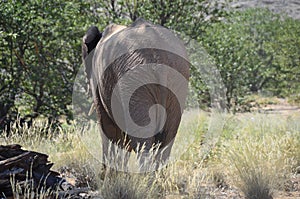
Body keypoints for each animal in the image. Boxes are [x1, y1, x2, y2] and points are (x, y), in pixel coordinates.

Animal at [81, 18, 190, 171]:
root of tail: (159, 54)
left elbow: (107, 127)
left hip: (135, 79)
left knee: (142, 139)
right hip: (177, 78)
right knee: (167, 138)